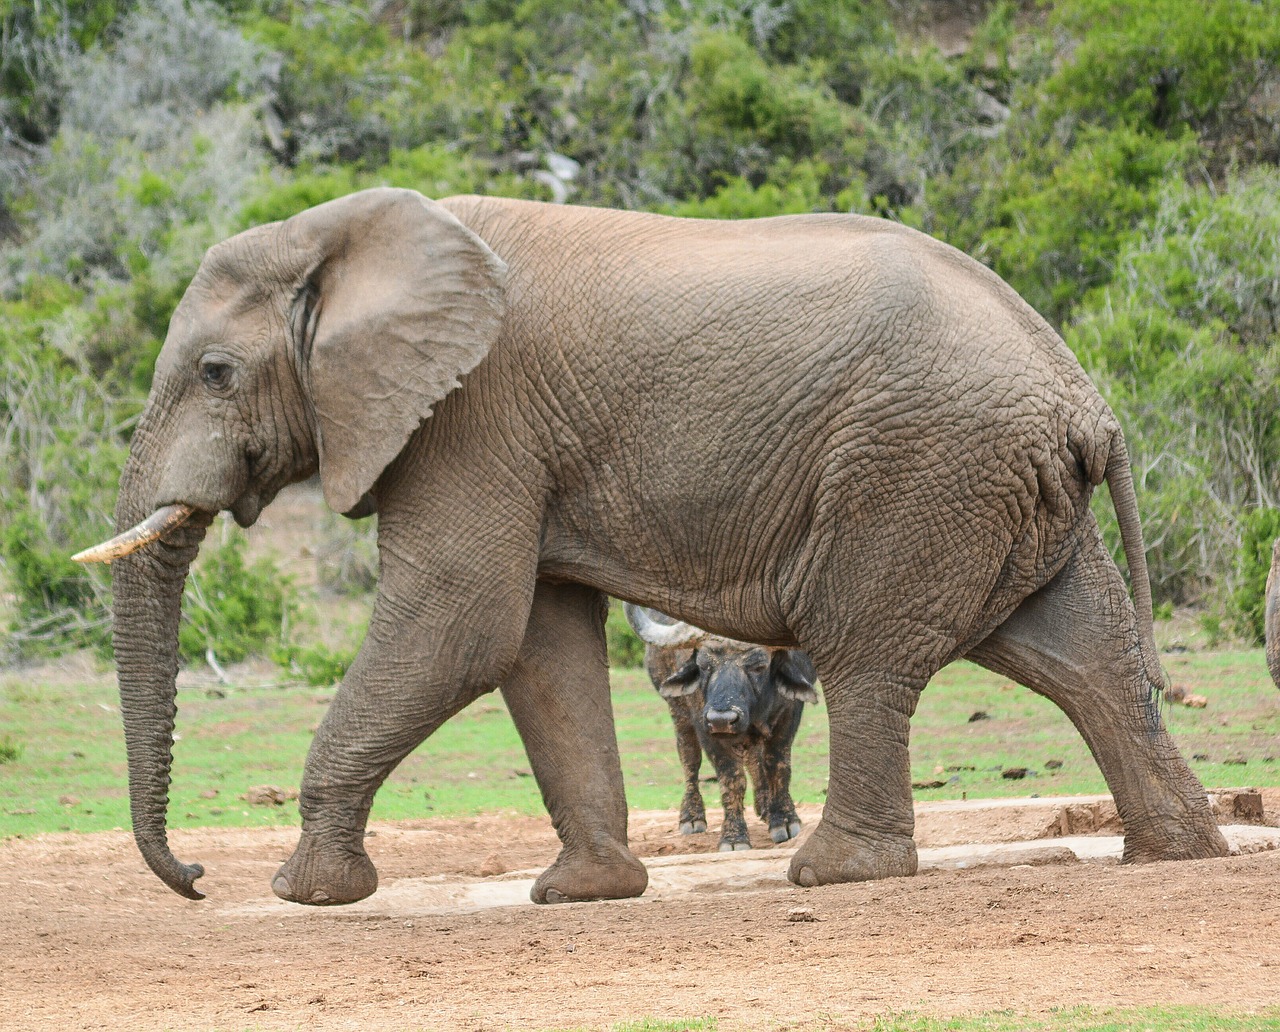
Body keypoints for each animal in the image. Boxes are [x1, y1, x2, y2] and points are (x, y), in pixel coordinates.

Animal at [72, 185, 1228, 906]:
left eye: (216, 373)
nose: (194, 881)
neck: (350, 233)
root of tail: (1085, 400)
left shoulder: (471, 418)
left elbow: (460, 625)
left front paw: (305, 893)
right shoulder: (511, 438)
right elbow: (536, 645)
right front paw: (583, 892)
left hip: (918, 468)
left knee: (867, 654)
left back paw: (832, 875)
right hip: (994, 482)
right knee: (1079, 654)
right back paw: (1176, 851)